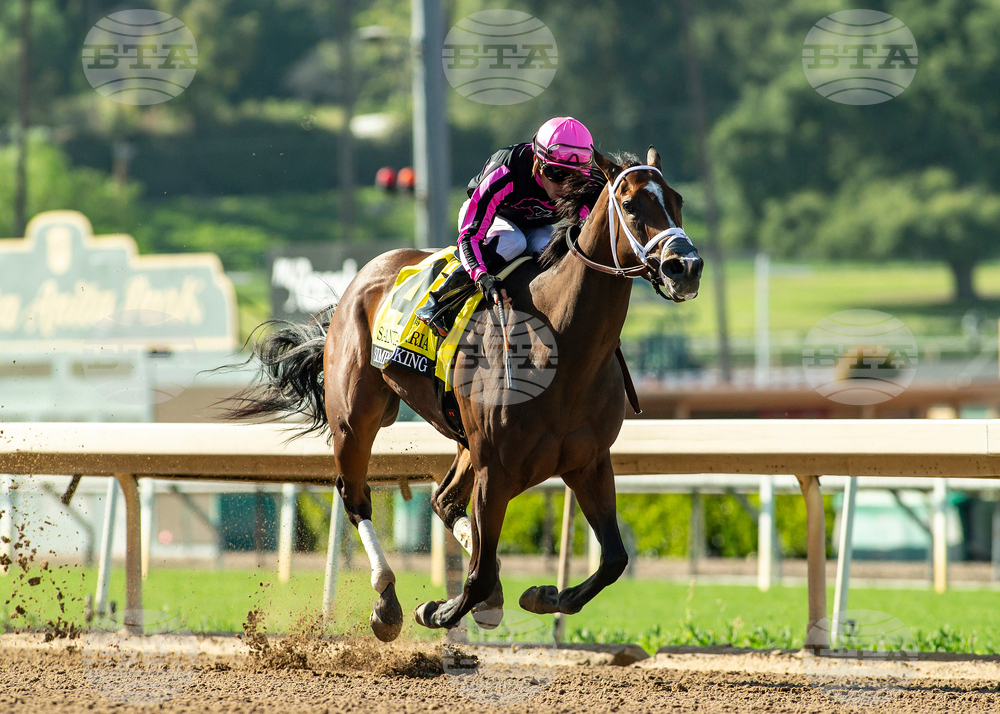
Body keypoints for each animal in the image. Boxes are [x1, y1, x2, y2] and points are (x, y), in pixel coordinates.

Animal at [227, 146, 703, 641]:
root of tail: (361, 278)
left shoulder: (588, 462)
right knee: (356, 496)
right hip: (357, 418)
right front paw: (436, 610)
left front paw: (544, 595)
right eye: (630, 205)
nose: (686, 267)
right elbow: (476, 578)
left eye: (678, 200)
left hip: (464, 440)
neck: (561, 348)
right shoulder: (497, 468)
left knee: (443, 500)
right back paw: (388, 602)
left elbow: (613, 560)